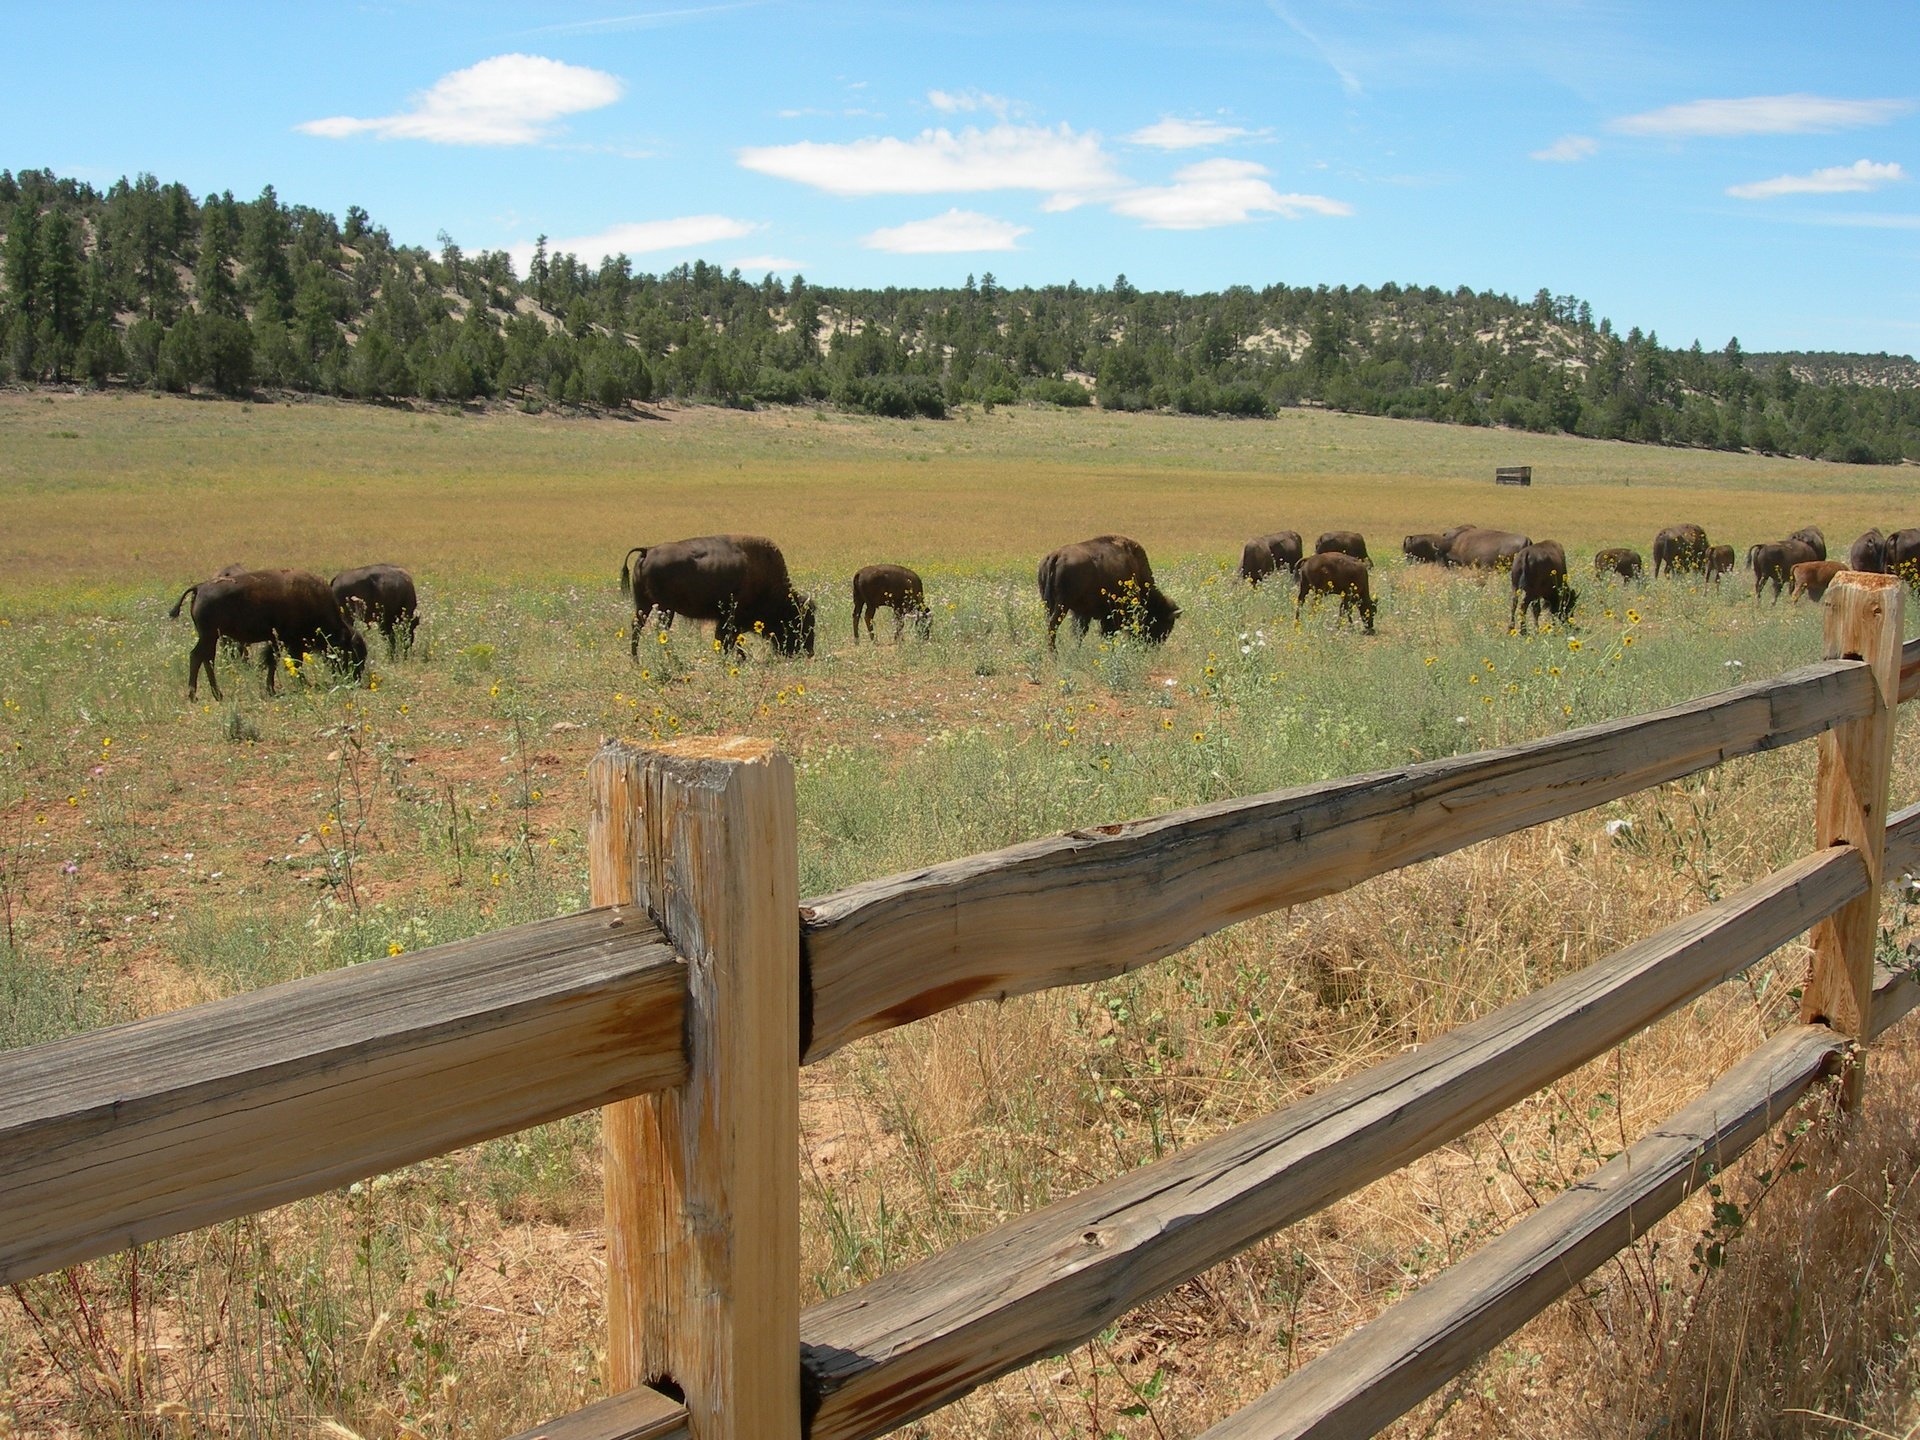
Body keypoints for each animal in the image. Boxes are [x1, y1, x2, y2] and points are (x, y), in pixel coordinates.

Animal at [173, 568, 370, 706]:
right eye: (351, 652)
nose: (355, 678)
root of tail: (199, 588)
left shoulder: (277, 641)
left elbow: (272, 662)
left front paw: (271, 689)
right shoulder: (290, 642)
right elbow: (293, 662)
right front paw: (303, 684)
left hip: (210, 637)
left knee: (205, 658)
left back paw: (213, 694)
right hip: (209, 636)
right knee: (199, 657)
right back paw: (199, 695)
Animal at [622, 537, 817, 660]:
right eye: (800, 621)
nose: (808, 651)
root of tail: (647, 551)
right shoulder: (731, 618)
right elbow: (727, 638)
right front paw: (738, 658)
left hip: (644, 605)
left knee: (637, 626)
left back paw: (636, 661)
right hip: (664, 608)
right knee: (661, 630)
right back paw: (673, 661)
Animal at [1044, 537, 1175, 652]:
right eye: (1164, 624)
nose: (1154, 647)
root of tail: (1055, 556)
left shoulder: (1082, 613)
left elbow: (1080, 633)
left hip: (1049, 605)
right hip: (1062, 606)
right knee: (1052, 627)